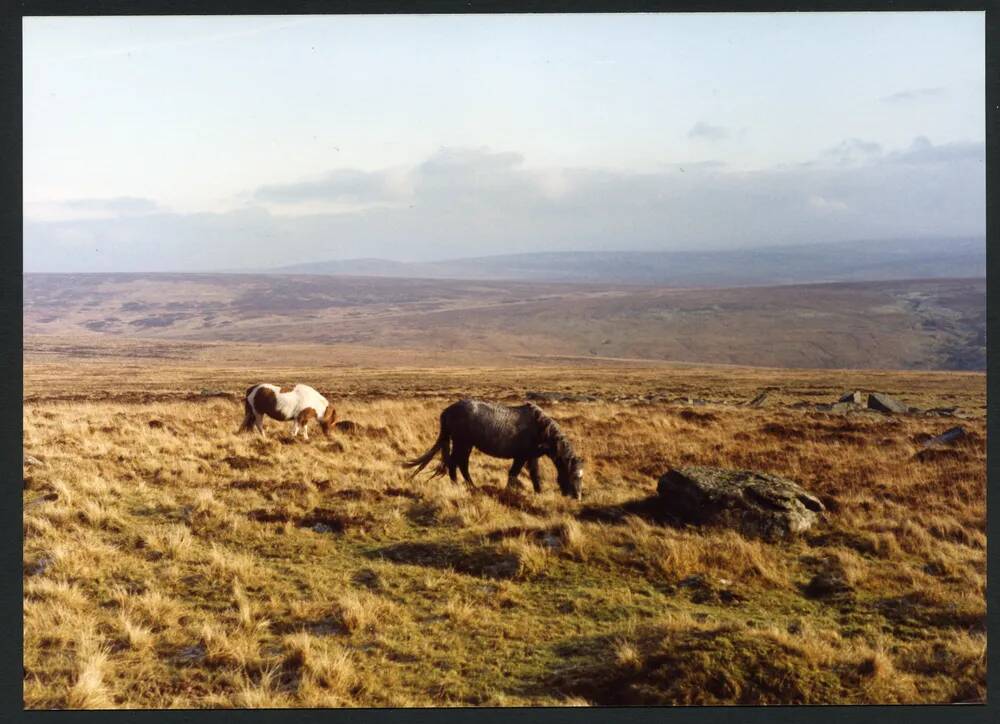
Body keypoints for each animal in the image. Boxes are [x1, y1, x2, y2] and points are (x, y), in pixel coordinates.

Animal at [400, 398, 584, 500]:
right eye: (573, 475)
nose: (577, 497)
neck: (540, 428)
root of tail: (447, 411)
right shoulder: (521, 457)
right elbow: (513, 474)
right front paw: (508, 494)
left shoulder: (532, 457)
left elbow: (534, 475)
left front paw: (538, 492)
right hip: (462, 443)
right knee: (456, 464)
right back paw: (460, 486)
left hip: (466, 445)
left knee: (460, 464)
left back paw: (470, 486)